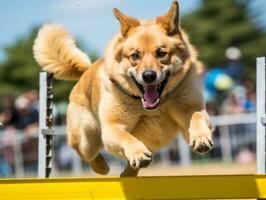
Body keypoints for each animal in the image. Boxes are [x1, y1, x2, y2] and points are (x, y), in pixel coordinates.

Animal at [33, 1, 213, 177]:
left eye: (161, 53)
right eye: (135, 55)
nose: (148, 76)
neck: (154, 107)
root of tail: (86, 72)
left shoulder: (190, 110)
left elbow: (197, 116)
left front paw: (201, 138)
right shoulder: (112, 127)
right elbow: (126, 137)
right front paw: (138, 153)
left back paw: (127, 173)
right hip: (86, 139)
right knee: (85, 153)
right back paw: (103, 167)